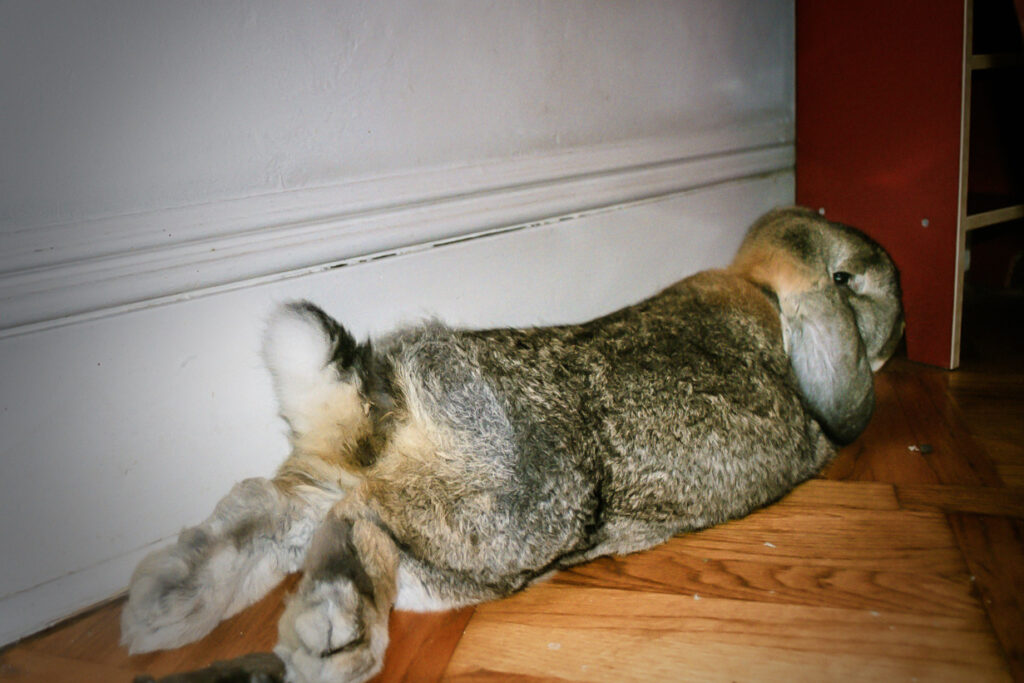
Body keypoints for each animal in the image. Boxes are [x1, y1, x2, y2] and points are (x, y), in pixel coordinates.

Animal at [121, 205, 905, 679]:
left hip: (407, 523)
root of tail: (388, 390)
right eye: (855, 279)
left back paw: (168, 605)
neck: (766, 294)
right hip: (513, 509)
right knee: (360, 519)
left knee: (276, 511)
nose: (895, 337)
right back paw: (334, 637)